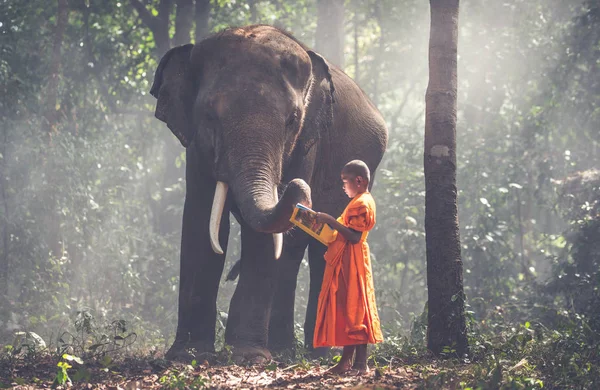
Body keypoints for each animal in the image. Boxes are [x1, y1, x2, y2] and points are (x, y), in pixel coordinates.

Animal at [148, 25, 386, 362]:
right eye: (209, 116)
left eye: (292, 120)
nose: (298, 189)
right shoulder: (196, 147)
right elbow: (200, 219)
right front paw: (187, 354)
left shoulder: (308, 143)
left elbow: (266, 238)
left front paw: (247, 355)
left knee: (318, 249)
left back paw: (312, 354)